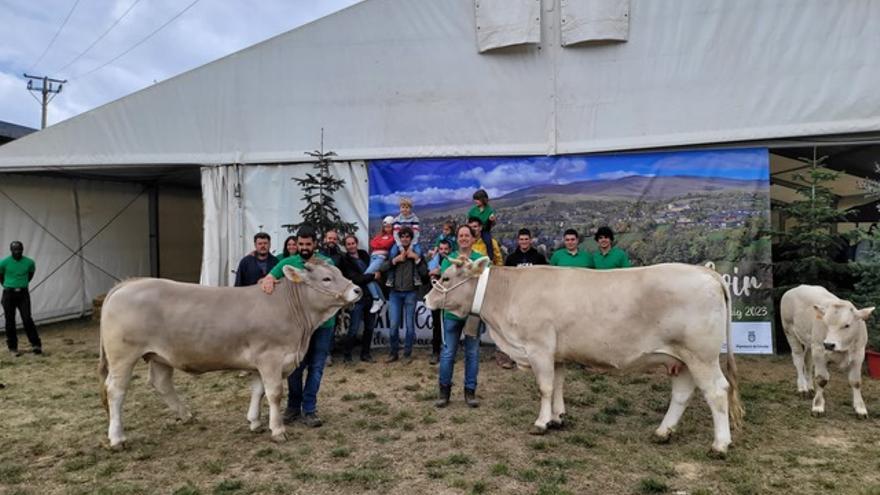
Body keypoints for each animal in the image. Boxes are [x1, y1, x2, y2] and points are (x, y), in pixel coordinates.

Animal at [101, 264, 362, 450]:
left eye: (339, 272)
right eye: (326, 278)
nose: (357, 290)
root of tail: (129, 284)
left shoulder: (260, 361)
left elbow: (258, 390)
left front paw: (254, 422)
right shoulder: (270, 358)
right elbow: (274, 393)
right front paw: (277, 430)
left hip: (159, 355)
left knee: (161, 383)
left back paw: (186, 415)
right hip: (123, 356)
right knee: (116, 391)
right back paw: (117, 439)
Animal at [426, 260, 744, 458]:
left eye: (445, 278)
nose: (428, 299)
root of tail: (706, 272)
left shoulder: (539, 347)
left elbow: (545, 388)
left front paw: (541, 423)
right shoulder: (557, 354)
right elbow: (558, 385)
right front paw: (557, 418)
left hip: (702, 356)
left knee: (717, 392)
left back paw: (720, 445)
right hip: (682, 358)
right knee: (682, 394)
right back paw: (663, 432)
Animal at [784, 286, 872, 418]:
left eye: (847, 325)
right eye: (825, 323)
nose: (829, 344)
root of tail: (796, 288)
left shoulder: (858, 355)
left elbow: (856, 382)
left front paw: (860, 409)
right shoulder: (819, 352)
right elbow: (821, 380)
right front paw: (818, 406)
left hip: (810, 343)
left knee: (808, 363)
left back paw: (810, 387)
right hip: (790, 331)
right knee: (798, 360)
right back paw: (802, 388)